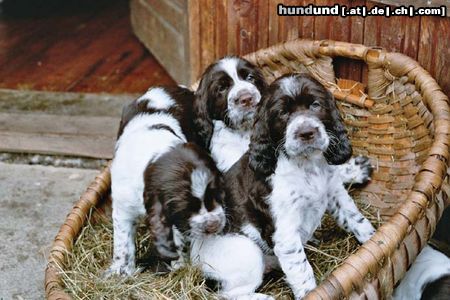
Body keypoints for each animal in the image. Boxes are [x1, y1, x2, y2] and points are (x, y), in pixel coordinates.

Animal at [221, 74, 376, 298]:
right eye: (283, 113)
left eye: (315, 104)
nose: (306, 132)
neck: (307, 165)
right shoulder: (285, 232)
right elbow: (301, 270)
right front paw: (311, 292)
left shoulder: (334, 193)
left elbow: (357, 220)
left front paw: (375, 241)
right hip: (247, 253)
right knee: (229, 293)